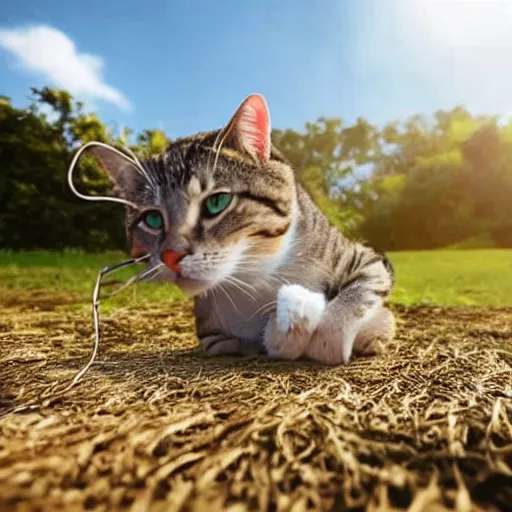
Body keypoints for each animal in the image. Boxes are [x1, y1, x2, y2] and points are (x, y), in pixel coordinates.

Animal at [87, 92, 396, 364]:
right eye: (152, 219)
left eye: (216, 202)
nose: (171, 256)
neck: (255, 279)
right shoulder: (212, 337)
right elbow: (254, 342)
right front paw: (286, 326)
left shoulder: (366, 257)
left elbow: (361, 292)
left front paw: (329, 338)